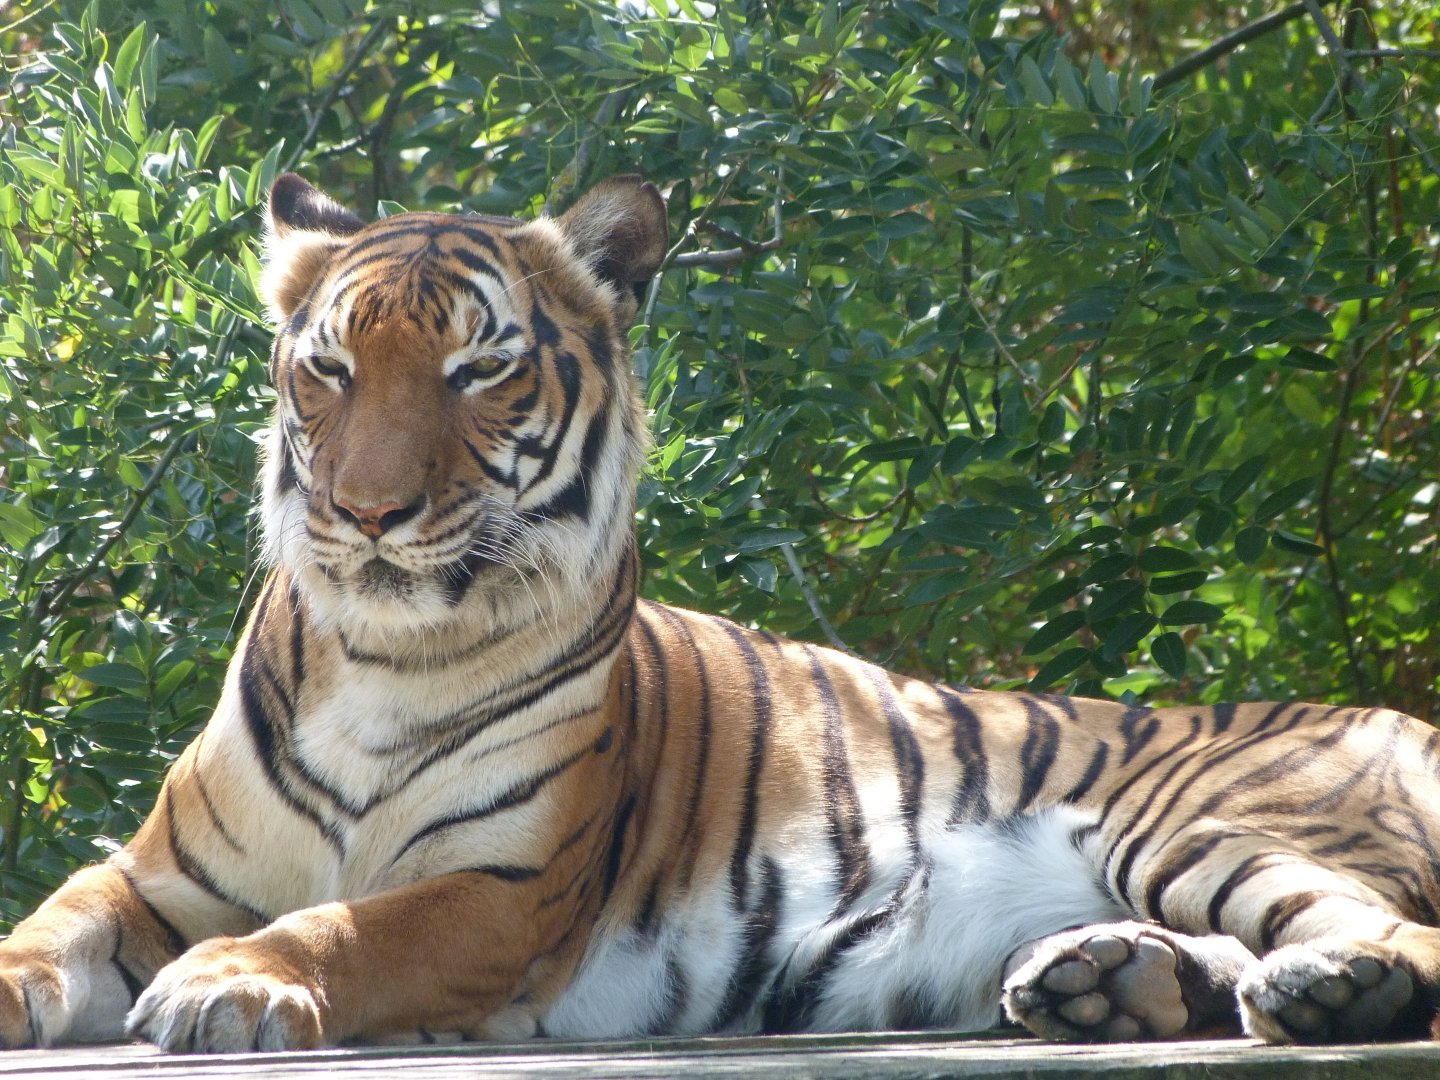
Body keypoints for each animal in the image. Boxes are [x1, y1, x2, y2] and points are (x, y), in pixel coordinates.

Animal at [1, 172, 1438, 1055]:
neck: (377, 653)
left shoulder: (504, 891)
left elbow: (349, 922)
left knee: (1385, 926)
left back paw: (1330, 988)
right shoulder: (153, 875)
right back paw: (1101, 981)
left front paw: (228, 980)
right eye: (332, 369)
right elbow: (48, 929)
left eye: (477, 371)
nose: (365, 511)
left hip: (1200, 820)